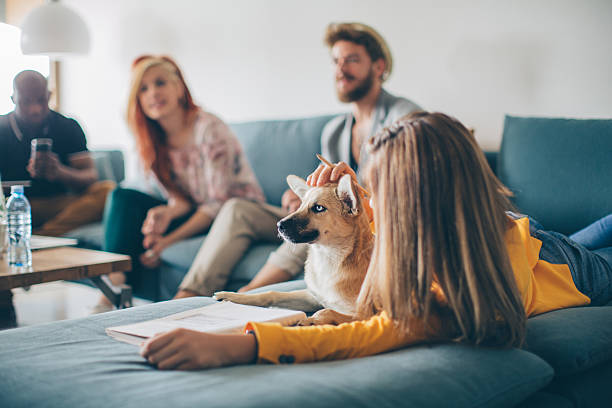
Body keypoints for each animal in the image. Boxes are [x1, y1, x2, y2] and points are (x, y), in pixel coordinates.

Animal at [218, 173, 376, 326]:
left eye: (319, 208)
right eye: (301, 205)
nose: (279, 225)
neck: (327, 256)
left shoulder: (365, 315)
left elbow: (327, 311)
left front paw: (312, 319)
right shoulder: (311, 296)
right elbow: (272, 293)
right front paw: (233, 296)